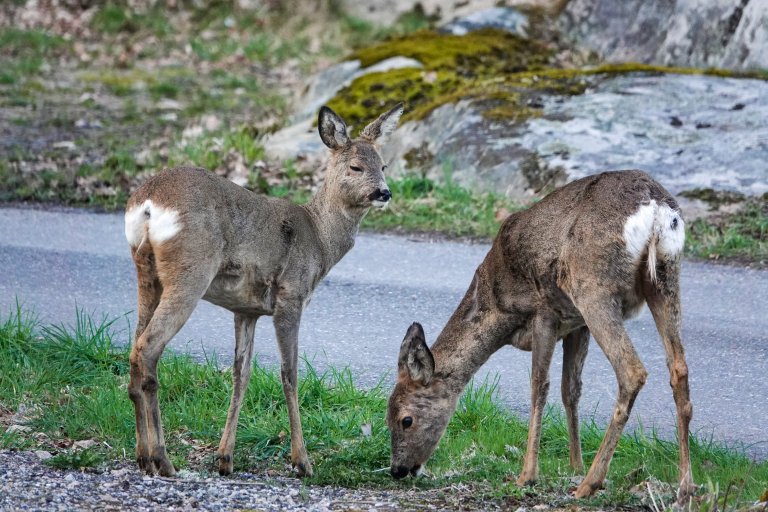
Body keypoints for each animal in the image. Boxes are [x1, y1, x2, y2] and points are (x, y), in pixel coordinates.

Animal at [124, 102, 402, 478]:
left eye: (383, 165)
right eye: (355, 166)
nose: (383, 192)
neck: (319, 238)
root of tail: (148, 205)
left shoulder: (246, 310)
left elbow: (241, 375)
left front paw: (225, 458)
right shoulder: (290, 296)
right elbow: (290, 374)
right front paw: (302, 461)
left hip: (146, 274)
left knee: (134, 348)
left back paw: (143, 457)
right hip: (190, 271)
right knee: (148, 348)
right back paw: (163, 460)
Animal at [388, 170, 692, 502]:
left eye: (406, 419)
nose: (398, 470)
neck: (496, 306)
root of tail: (657, 209)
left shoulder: (543, 313)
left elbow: (539, 386)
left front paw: (528, 475)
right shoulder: (576, 324)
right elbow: (570, 390)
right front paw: (574, 463)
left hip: (593, 286)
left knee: (632, 371)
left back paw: (590, 483)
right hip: (664, 277)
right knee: (678, 368)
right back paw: (685, 486)